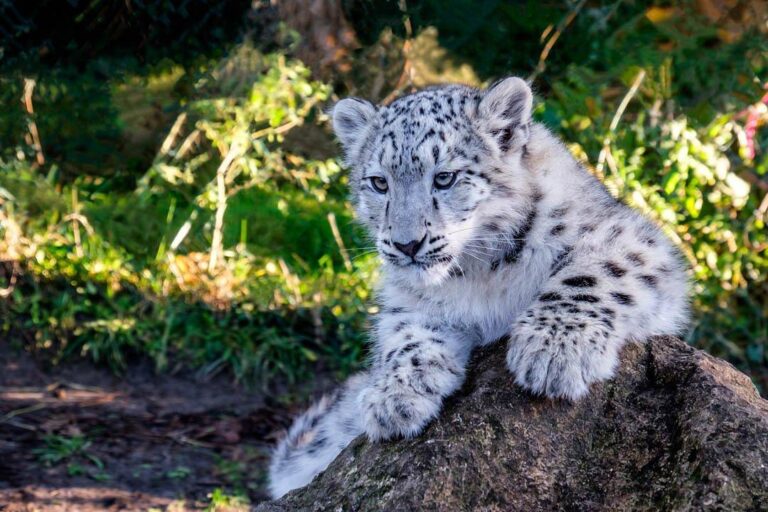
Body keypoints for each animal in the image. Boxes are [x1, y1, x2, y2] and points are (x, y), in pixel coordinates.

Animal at [268, 78, 688, 498]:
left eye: (444, 177)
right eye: (379, 182)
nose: (406, 244)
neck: (479, 273)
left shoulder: (629, 238)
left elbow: (587, 277)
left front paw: (554, 350)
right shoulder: (409, 299)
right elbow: (406, 335)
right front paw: (394, 395)